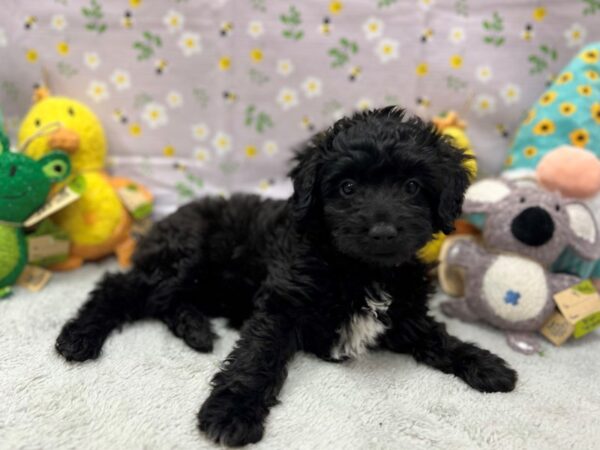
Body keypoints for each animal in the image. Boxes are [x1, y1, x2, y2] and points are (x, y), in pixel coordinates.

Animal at [55, 108, 516, 446]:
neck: (358, 268)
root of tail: (160, 225)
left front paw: (486, 364)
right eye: (347, 187)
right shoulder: (283, 304)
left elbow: (436, 336)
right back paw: (79, 337)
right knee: (122, 288)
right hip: (183, 259)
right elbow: (257, 356)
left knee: (163, 302)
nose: (383, 231)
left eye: (412, 186)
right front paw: (232, 412)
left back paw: (196, 331)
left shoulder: (404, 313)